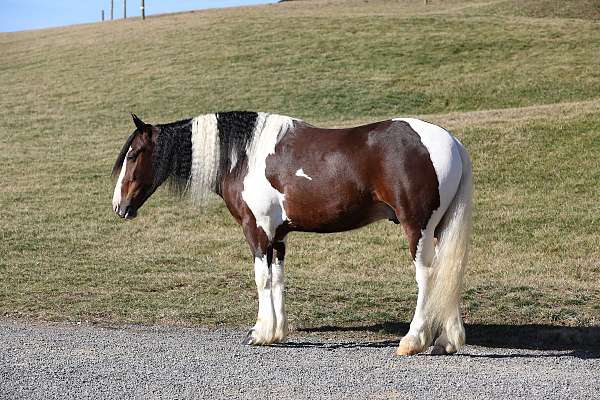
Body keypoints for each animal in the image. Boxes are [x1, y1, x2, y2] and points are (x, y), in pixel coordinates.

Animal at [110, 112, 472, 356]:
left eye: (133, 154)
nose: (118, 206)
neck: (245, 155)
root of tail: (452, 142)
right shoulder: (278, 236)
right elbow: (278, 279)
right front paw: (277, 332)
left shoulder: (256, 232)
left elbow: (261, 279)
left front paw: (259, 333)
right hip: (440, 229)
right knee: (448, 273)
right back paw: (447, 341)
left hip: (418, 228)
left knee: (428, 277)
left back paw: (412, 341)